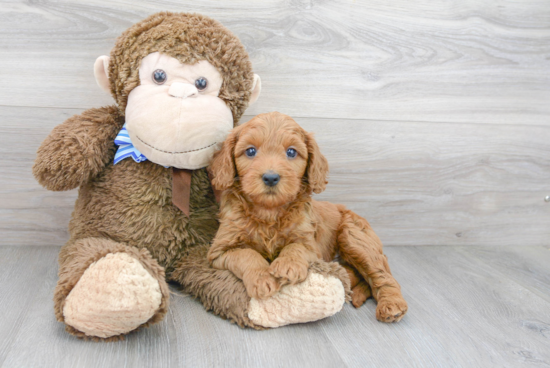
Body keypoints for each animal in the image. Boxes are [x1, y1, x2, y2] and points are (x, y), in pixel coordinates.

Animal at [209, 111, 408, 322]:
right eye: (250, 151)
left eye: (291, 152)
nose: (271, 177)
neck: (269, 211)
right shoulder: (220, 250)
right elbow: (247, 254)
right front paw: (262, 278)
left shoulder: (311, 245)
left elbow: (296, 247)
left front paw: (288, 265)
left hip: (355, 237)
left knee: (383, 274)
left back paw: (392, 304)